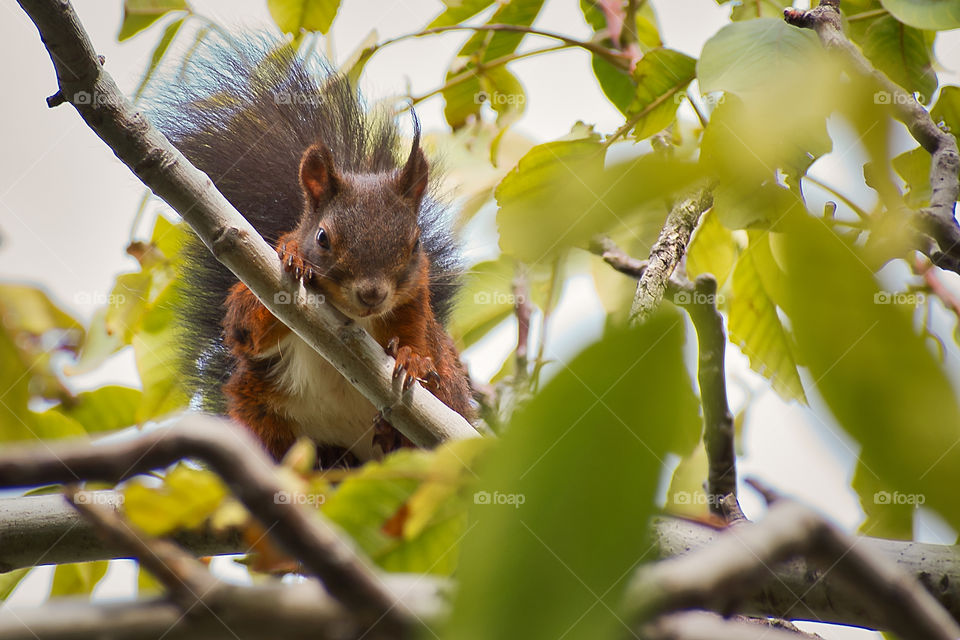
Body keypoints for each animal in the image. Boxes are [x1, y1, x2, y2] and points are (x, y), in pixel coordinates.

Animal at [151, 38, 476, 464]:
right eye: (322, 238)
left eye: (415, 245)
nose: (372, 294)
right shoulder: (252, 302)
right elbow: (245, 327)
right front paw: (295, 257)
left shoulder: (416, 310)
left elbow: (427, 357)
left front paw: (413, 360)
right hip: (262, 414)